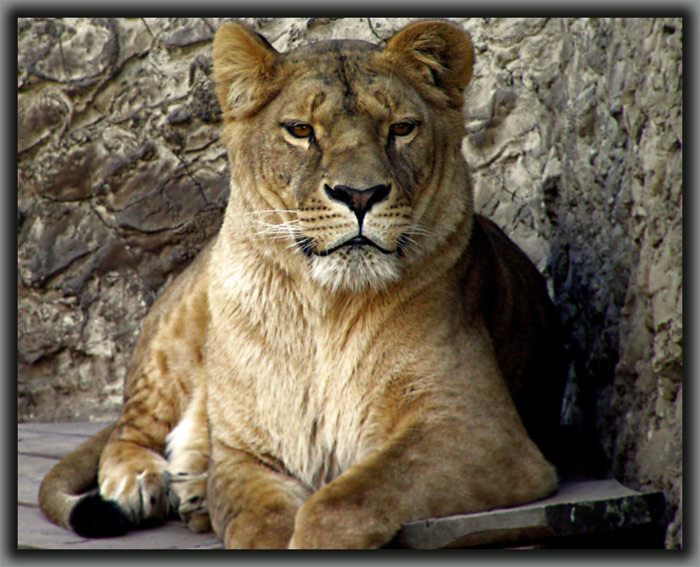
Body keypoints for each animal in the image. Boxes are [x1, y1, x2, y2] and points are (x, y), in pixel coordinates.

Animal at [39, 19, 566, 549]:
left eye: (400, 128)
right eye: (301, 131)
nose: (360, 195)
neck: (325, 310)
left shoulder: (482, 432)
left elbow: (348, 498)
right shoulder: (245, 454)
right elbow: (259, 522)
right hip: (173, 337)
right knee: (129, 427)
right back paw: (142, 480)